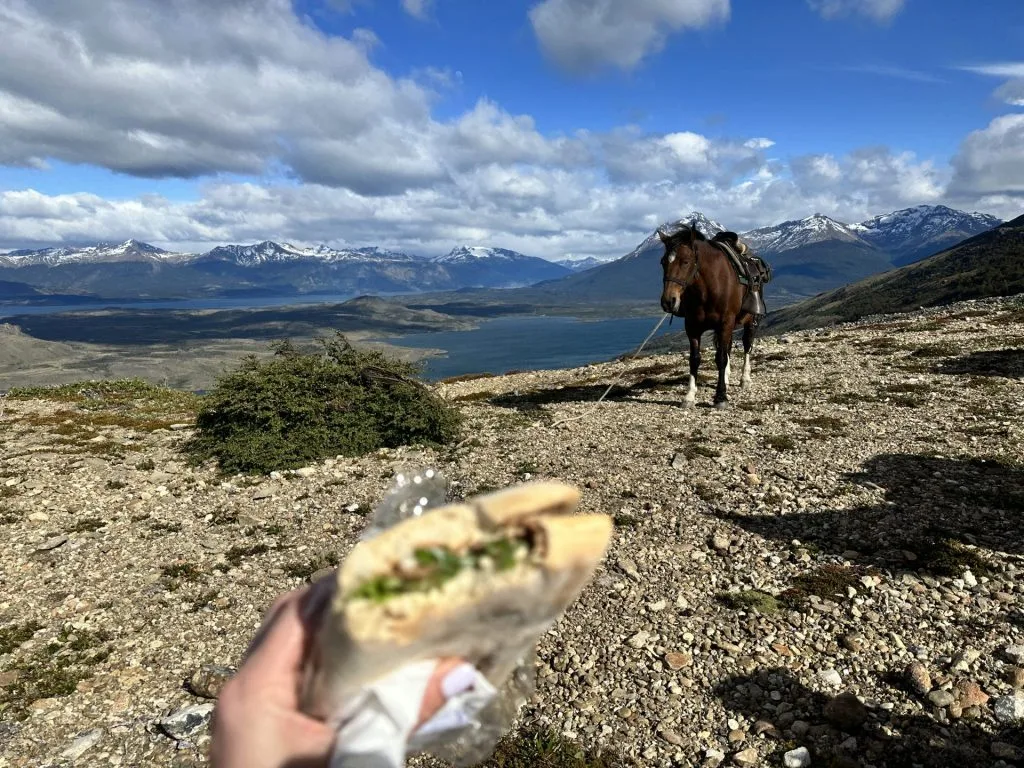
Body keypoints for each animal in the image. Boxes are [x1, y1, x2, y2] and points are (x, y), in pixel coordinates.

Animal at [655, 222, 761, 409]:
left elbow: (721, 358)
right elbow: (695, 359)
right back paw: (727, 377)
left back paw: (745, 379)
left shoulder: (725, 322)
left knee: (747, 344)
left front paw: (721, 397)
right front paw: (689, 396)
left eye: (686, 261)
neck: (708, 288)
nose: (668, 301)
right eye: (663, 262)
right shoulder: (692, 327)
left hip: (749, 320)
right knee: (727, 347)